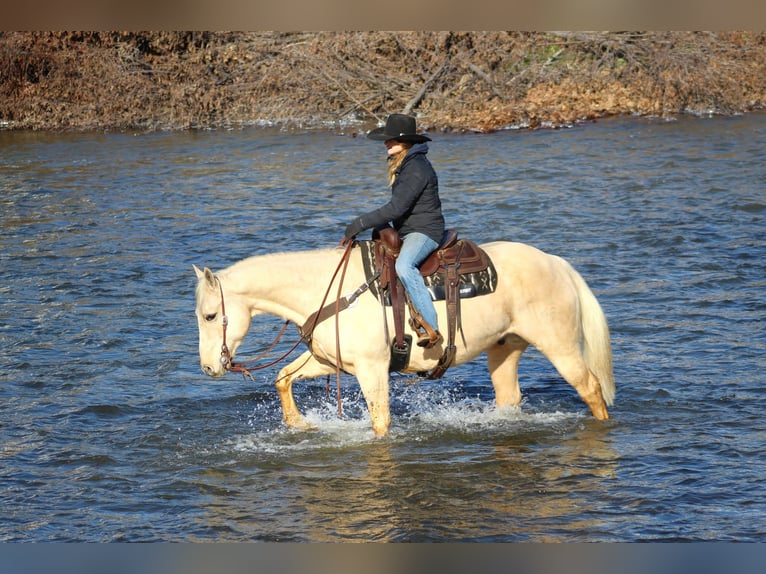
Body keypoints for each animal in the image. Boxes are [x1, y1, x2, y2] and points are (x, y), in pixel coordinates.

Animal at [195, 242, 616, 436]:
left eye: (210, 315)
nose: (209, 367)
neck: (332, 293)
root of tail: (555, 262)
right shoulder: (329, 361)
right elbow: (283, 377)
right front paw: (300, 425)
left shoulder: (372, 368)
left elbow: (380, 421)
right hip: (505, 348)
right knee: (510, 398)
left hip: (559, 344)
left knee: (590, 388)